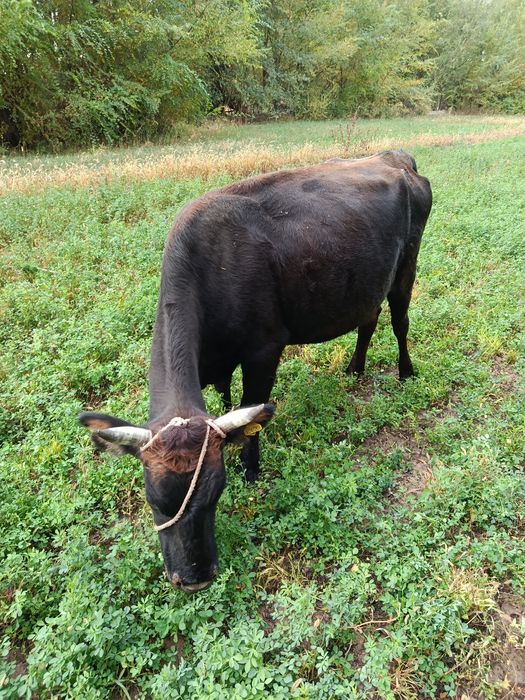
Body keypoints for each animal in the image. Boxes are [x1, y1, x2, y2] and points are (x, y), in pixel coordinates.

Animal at [80, 150, 432, 592]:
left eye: (216, 493)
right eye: (154, 499)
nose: (194, 580)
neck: (209, 265)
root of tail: (394, 156)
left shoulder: (264, 349)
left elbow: (252, 409)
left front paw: (251, 468)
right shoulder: (218, 363)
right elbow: (227, 400)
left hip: (407, 268)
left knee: (400, 321)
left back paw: (406, 372)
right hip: (371, 281)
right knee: (368, 320)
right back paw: (355, 369)